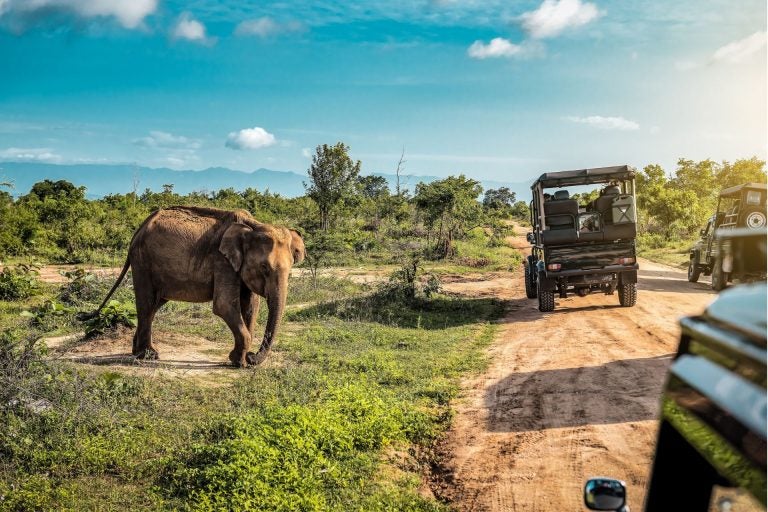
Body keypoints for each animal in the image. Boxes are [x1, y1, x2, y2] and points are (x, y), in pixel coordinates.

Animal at [84, 206, 305, 367]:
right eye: (264, 268)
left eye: (291, 269)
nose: (253, 357)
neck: (253, 225)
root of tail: (138, 230)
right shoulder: (222, 261)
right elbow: (224, 305)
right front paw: (239, 362)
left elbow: (251, 306)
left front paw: (242, 361)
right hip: (143, 261)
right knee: (147, 303)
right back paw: (148, 356)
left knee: (154, 305)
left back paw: (137, 352)